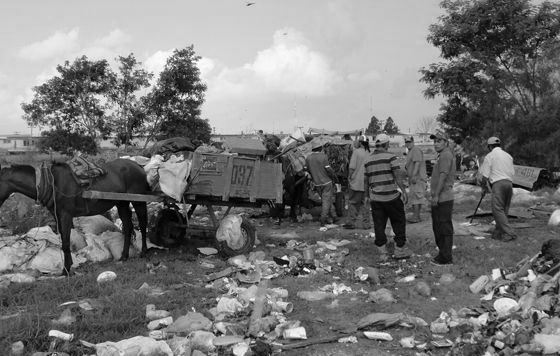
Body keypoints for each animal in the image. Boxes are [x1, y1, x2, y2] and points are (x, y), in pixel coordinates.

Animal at [0, 159, 150, 276]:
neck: (50, 183)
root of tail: (138, 166)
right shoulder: (57, 215)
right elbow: (63, 241)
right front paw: (67, 267)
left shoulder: (66, 215)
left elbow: (66, 243)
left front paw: (66, 269)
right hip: (121, 203)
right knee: (128, 226)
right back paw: (124, 256)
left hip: (139, 201)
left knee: (143, 225)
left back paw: (143, 252)